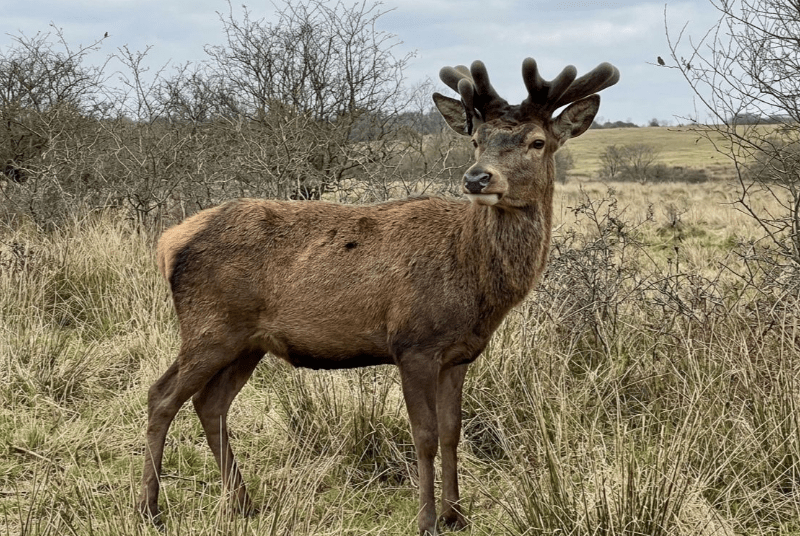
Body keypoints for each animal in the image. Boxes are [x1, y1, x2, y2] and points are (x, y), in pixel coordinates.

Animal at [137, 56, 619, 535]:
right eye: (477, 140)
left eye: (537, 141)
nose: (477, 178)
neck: (474, 280)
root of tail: (167, 242)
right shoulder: (413, 343)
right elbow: (424, 436)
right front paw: (427, 520)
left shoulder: (459, 354)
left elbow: (452, 431)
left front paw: (457, 515)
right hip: (210, 325)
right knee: (161, 395)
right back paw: (150, 508)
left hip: (247, 342)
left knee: (210, 404)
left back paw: (243, 503)